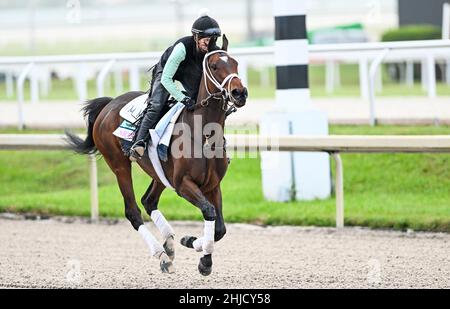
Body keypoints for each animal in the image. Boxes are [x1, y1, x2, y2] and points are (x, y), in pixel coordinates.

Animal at [66, 35, 248, 274]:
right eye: (214, 65)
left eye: (235, 63)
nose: (240, 93)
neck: (203, 133)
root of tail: (108, 104)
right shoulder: (183, 184)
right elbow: (209, 212)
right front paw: (202, 258)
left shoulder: (212, 185)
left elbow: (220, 228)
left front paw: (193, 244)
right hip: (119, 165)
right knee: (133, 211)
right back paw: (161, 255)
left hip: (159, 172)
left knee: (149, 200)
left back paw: (169, 243)